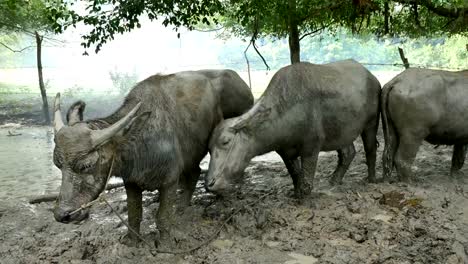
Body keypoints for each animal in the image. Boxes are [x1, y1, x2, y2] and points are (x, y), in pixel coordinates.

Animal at [53, 69, 254, 246]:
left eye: (86, 165)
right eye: (57, 164)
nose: (62, 215)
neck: (139, 141)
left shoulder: (169, 181)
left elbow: (162, 217)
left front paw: (165, 242)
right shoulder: (131, 182)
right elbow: (134, 214)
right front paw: (132, 240)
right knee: (194, 172)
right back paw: (183, 206)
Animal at [207, 58, 382, 198]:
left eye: (225, 141)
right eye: (208, 148)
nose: (209, 183)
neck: (284, 109)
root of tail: (371, 77)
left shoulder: (311, 146)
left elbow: (307, 175)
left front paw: (304, 195)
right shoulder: (284, 151)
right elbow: (295, 173)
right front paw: (296, 193)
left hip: (371, 122)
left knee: (370, 148)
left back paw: (371, 179)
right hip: (341, 130)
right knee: (347, 153)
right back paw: (334, 180)